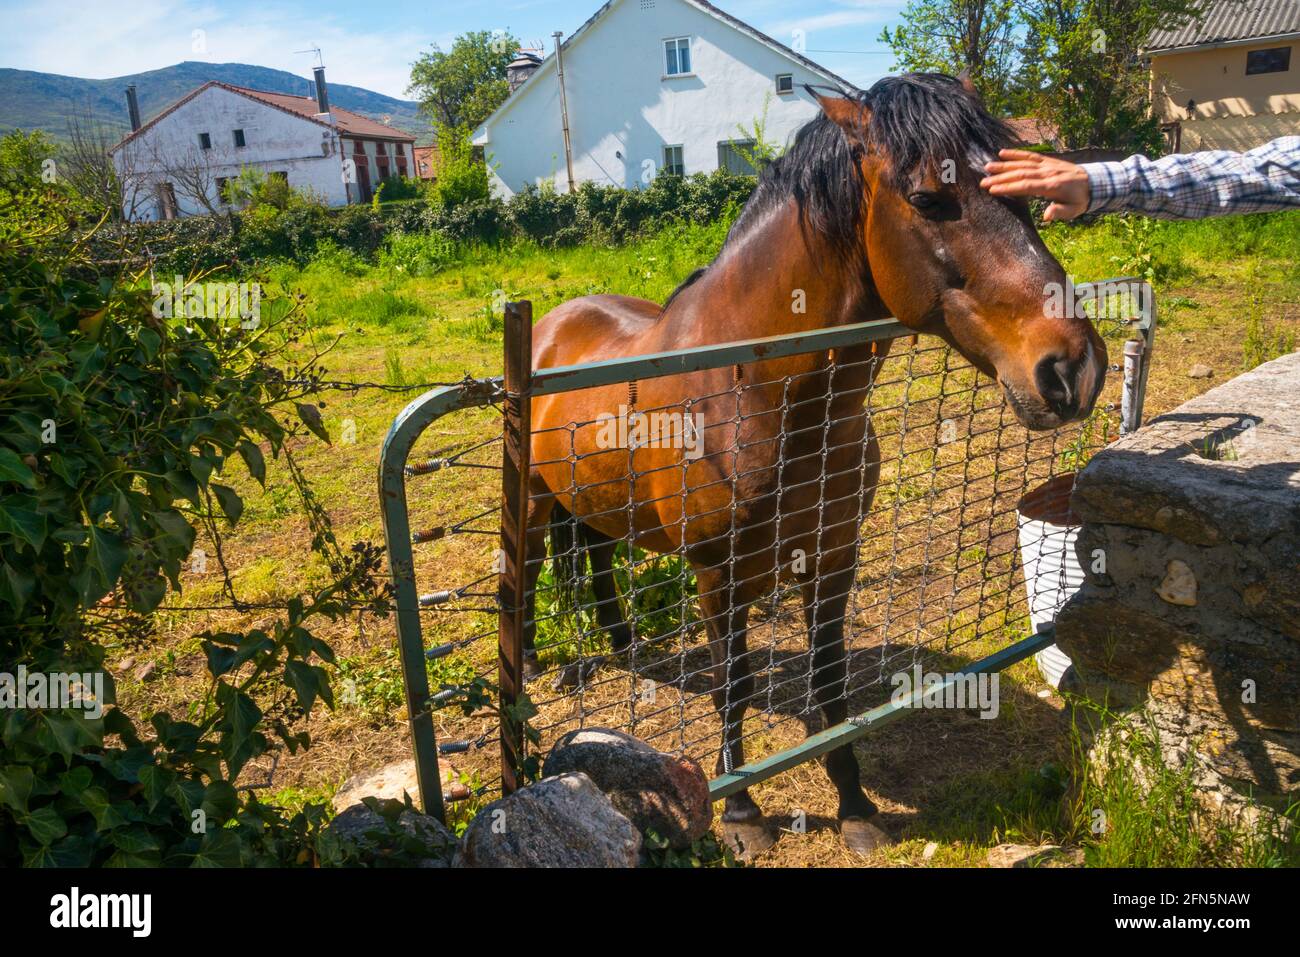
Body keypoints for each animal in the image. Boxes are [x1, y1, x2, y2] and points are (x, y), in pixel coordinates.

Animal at [520, 73, 1106, 858]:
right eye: (927, 199)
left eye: (1020, 193)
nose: (1072, 367)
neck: (754, 390)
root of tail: (552, 324)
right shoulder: (718, 575)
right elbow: (734, 683)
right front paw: (741, 812)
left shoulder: (832, 558)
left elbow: (830, 682)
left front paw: (855, 803)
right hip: (531, 503)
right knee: (528, 576)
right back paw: (540, 677)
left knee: (595, 556)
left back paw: (625, 648)